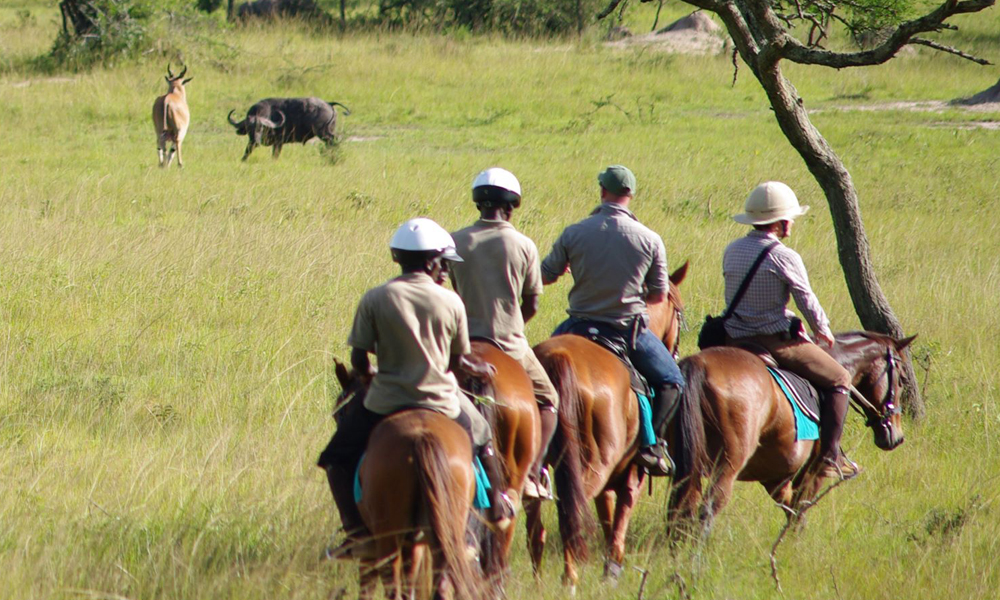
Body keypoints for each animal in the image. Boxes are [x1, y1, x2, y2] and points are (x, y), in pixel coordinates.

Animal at [330, 364, 482, 600]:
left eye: (341, 412)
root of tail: (422, 437)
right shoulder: (414, 543)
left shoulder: (371, 552)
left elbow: (368, 586)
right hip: (446, 532)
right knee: (442, 583)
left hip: (388, 539)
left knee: (392, 584)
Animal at [524, 262, 688, 584]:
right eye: (679, 311)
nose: (674, 350)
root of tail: (559, 356)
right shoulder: (634, 474)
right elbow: (620, 518)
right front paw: (612, 569)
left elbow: (607, 516)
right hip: (595, 462)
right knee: (571, 508)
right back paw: (570, 577)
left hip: (537, 462)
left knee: (536, 516)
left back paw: (536, 580)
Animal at [668, 332, 916, 536]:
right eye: (901, 379)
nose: (897, 437)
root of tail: (700, 364)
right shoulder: (815, 469)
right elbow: (800, 508)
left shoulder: (775, 476)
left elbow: (791, 508)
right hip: (727, 466)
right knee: (705, 512)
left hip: (688, 467)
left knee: (680, 510)